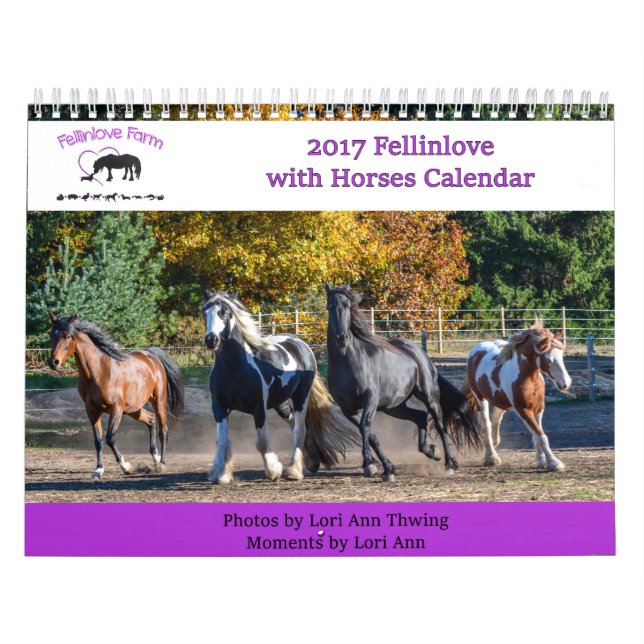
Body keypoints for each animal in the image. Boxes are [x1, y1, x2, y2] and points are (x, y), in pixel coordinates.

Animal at [47, 313, 185, 479]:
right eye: (51, 334)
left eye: (67, 335)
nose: (53, 362)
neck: (98, 372)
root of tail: (151, 356)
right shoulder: (92, 411)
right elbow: (98, 440)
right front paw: (99, 469)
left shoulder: (116, 408)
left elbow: (110, 438)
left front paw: (126, 466)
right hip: (134, 409)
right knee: (151, 420)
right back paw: (156, 458)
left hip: (158, 401)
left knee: (163, 429)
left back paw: (162, 464)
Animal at [201, 290, 359, 484]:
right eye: (204, 312)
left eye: (225, 312)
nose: (211, 340)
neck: (234, 368)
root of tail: (300, 344)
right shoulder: (219, 407)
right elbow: (222, 441)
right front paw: (222, 473)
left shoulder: (259, 409)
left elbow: (261, 443)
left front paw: (273, 470)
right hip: (280, 404)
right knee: (293, 424)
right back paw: (312, 460)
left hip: (300, 397)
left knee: (299, 430)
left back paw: (295, 471)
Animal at [325, 284, 481, 482]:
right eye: (330, 306)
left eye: (347, 306)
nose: (341, 338)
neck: (347, 362)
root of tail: (420, 354)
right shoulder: (347, 409)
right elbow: (371, 435)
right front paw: (387, 468)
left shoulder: (370, 399)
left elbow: (365, 427)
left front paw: (369, 464)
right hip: (394, 407)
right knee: (420, 417)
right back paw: (432, 451)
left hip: (429, 397)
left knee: (440, 425)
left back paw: (449, 464)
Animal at [463, 319, 572, 471]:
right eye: (549, 359)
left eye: (561, 356)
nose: (565, 383)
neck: (529, 378)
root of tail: (475, 352)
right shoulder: (523, 410)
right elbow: (541, 436)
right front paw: (554, 463)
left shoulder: (538, 409)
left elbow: (536, 434)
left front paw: (540, 461)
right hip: (480, 398)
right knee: (486, 425)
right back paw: (492, 458)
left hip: (499, 401)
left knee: (495, 419)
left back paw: (493, 446)